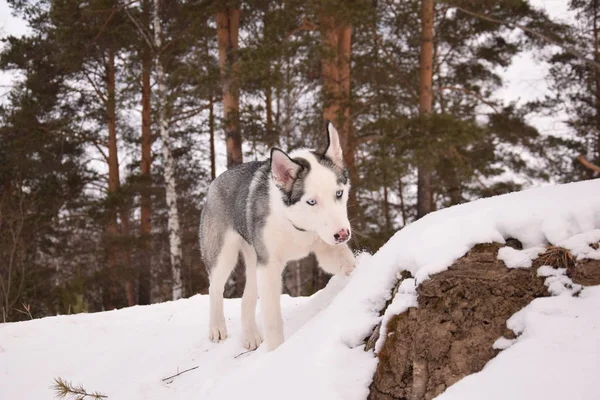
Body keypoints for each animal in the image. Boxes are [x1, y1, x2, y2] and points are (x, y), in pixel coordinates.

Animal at [199, 122, 354, 350]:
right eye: (311, 201)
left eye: (339, 193)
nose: (343, 234)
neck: (296, 225)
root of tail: (216, 181)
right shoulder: (269, 267)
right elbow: (272, 319)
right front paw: (276, 351)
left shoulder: (324, 244)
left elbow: (343, 261)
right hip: (223, 256)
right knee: (215, 289)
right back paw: (216, 327)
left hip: (254, 258)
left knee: (247, 297)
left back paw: (251, 335)